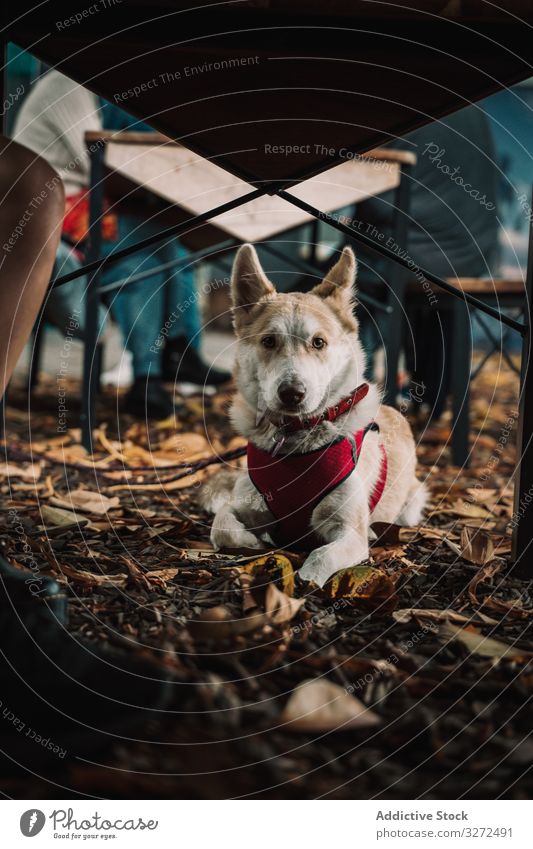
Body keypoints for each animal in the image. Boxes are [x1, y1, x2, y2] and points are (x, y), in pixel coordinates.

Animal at [206, 242, 426, 588]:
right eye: (269, 341)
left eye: (319, 342)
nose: (292, 393)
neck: (296, 438)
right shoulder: (241, 506)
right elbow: (223, 526)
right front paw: (253, 544)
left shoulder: (349, 532)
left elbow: (322, 556)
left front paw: (305, 580)